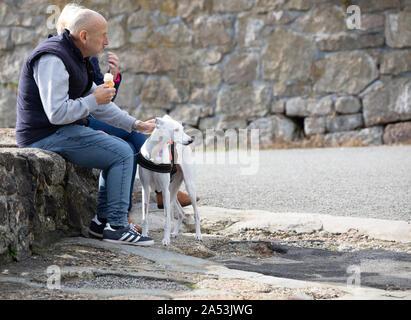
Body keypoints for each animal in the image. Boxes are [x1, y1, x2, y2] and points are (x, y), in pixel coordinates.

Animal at [138, 114, 203, 245]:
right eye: (176, 130)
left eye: (182, 129)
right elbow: (145, 217)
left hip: (188, 187)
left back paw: (198, 235)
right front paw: (144, 235)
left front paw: (166, 239)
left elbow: (167, 218)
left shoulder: (164, 189)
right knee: (181, 212)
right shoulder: (145, 188)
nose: (191, 140)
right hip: (172, 190)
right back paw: (175, 233)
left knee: (196, 214)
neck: (155, 153)